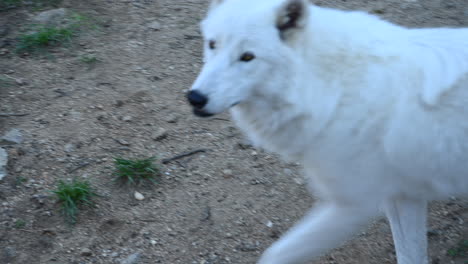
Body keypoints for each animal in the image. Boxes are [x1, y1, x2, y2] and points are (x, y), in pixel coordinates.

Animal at [186, 0, 468, 264]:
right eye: (212, 44)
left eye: (247, 57)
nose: (195, 98)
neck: (330, 86)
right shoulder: (402, 197)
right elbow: (410, 255)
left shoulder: (355, 205)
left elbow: (275, 254)